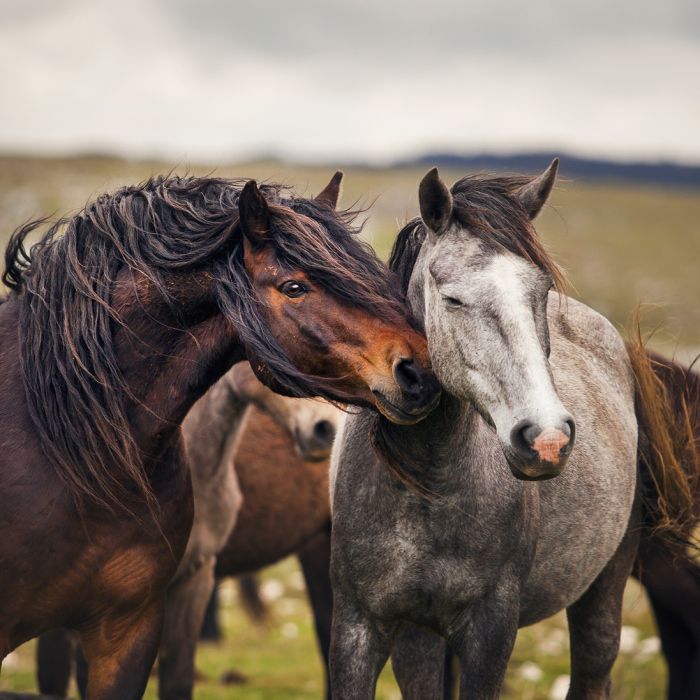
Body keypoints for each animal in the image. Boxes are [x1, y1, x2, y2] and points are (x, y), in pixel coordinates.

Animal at [330, 161, 700, 696]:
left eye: (540, 292)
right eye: (452, 299)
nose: (546, 439)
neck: (426, 484)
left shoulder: (490, 631)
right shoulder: (359, 627)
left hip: (606, 584)